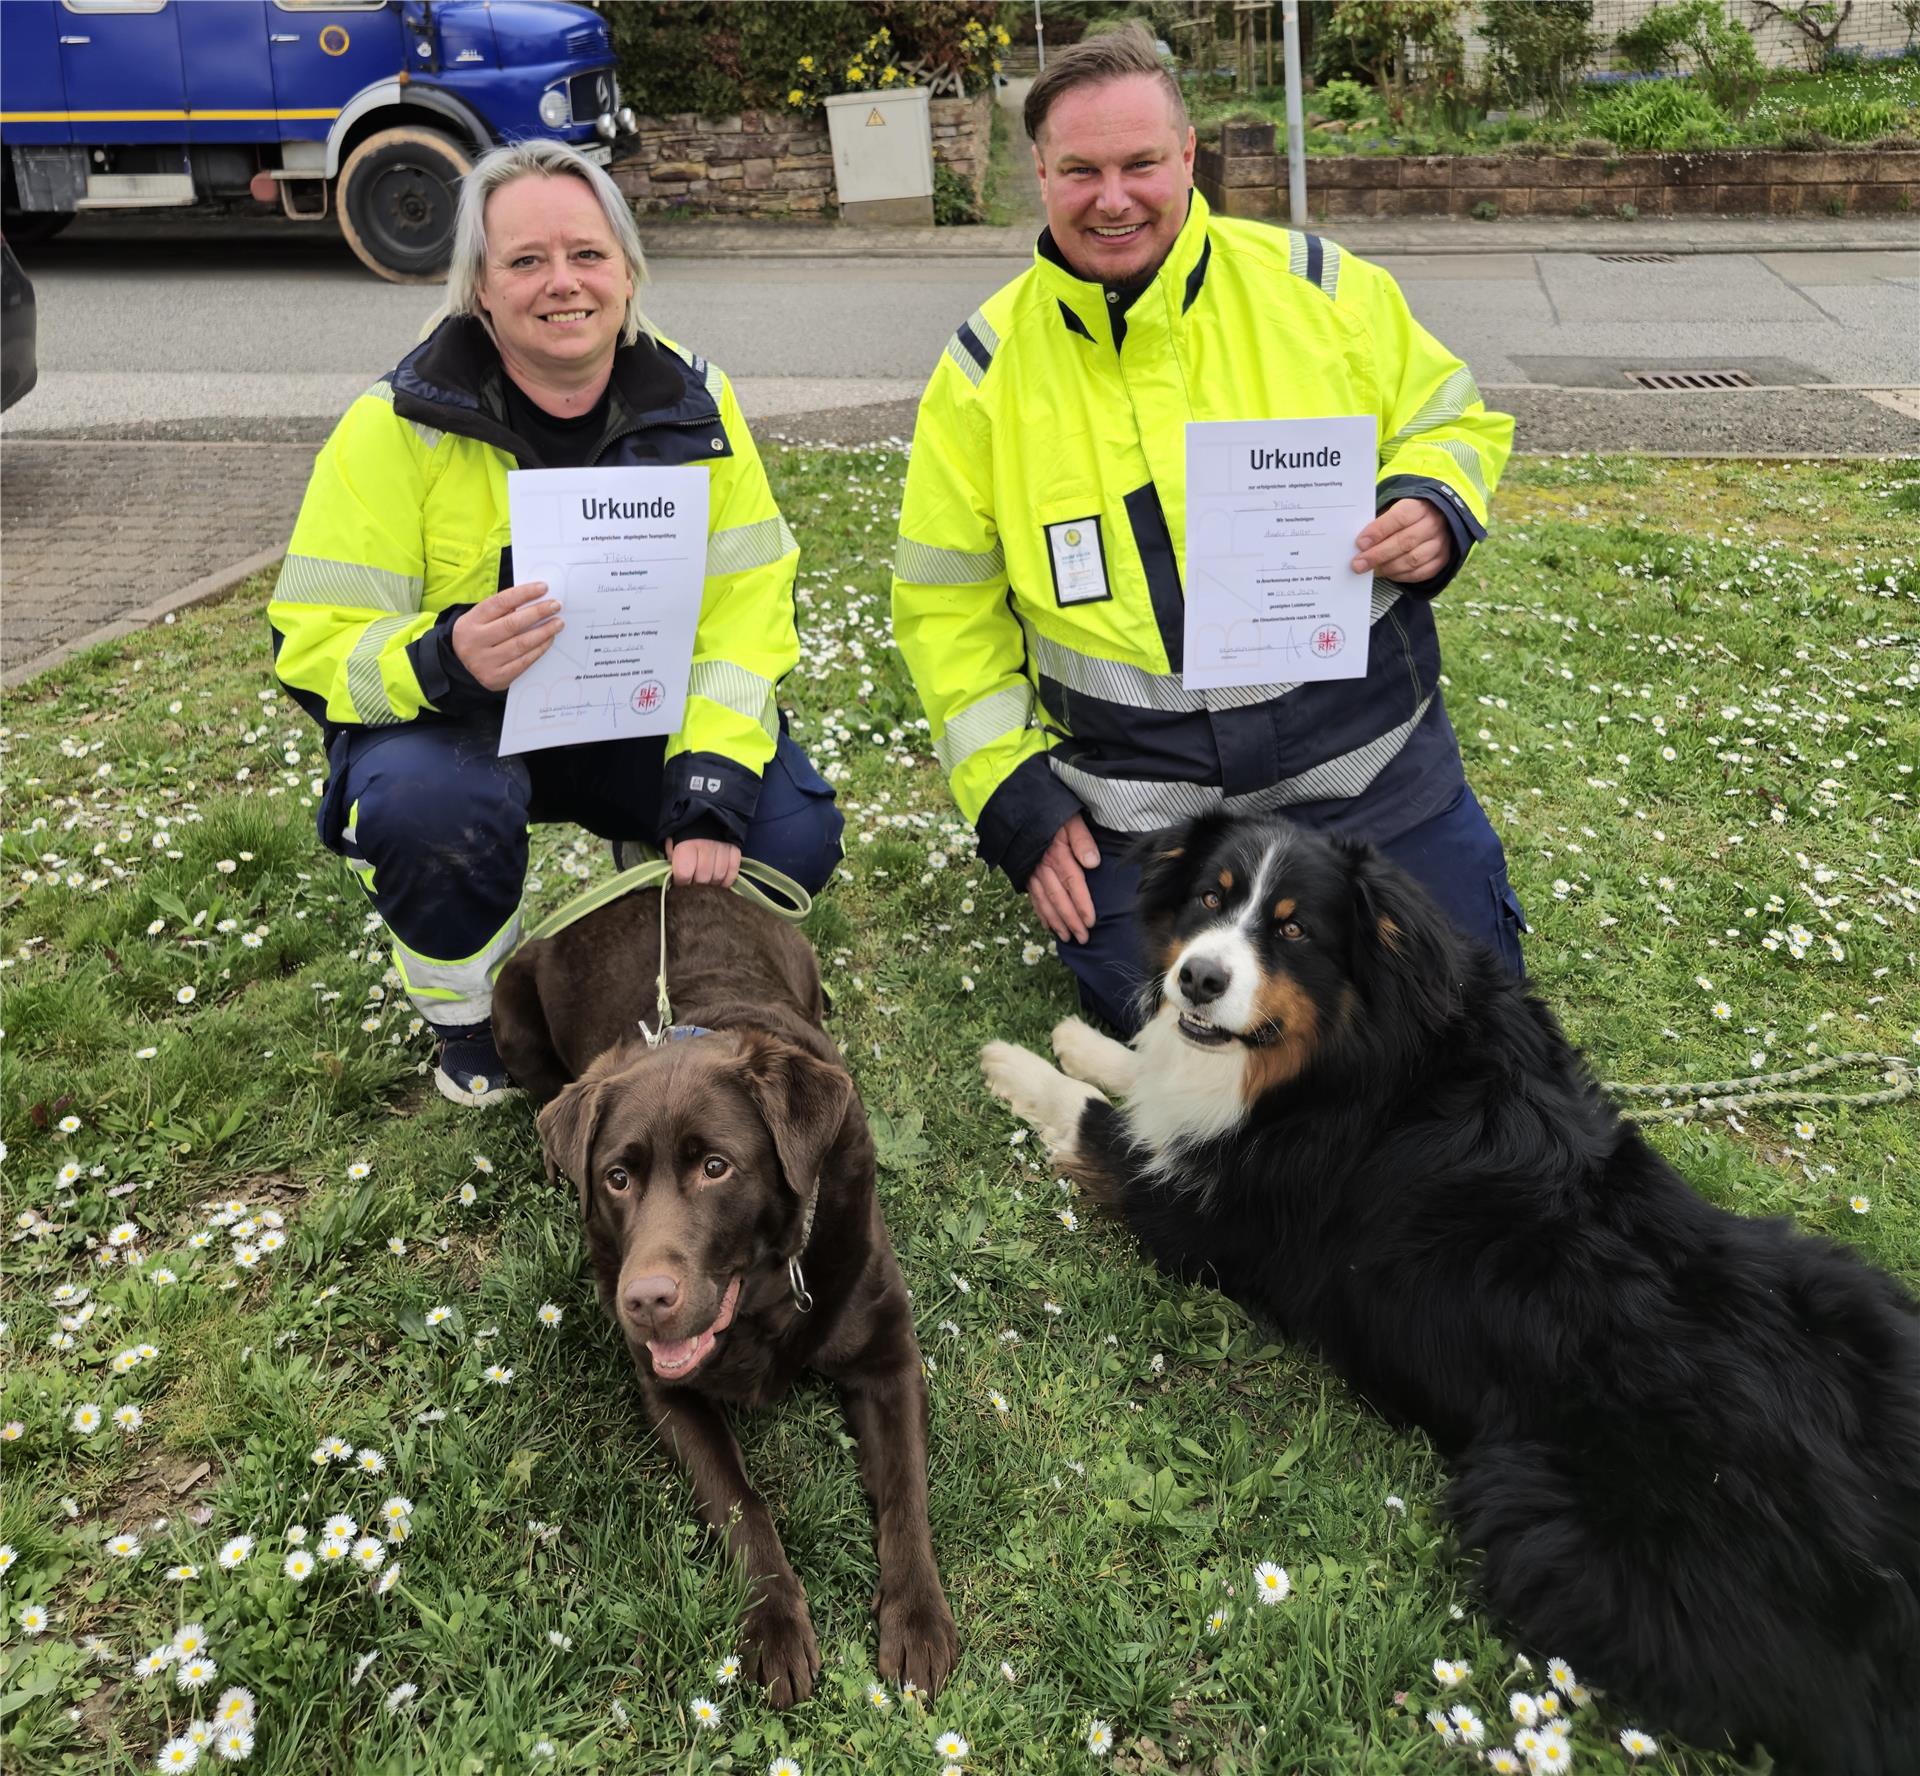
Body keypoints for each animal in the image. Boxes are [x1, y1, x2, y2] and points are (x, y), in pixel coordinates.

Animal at [990, 814, 1920, 1774]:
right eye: (1212, 898)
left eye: (1295, 932)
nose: (1197, 979)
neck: (1341, 1059)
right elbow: (1146, 1081)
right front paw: (1094, 1040)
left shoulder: (1200, 1217)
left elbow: (1100, 1123)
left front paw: (1017, 1063)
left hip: (1537, 1513)